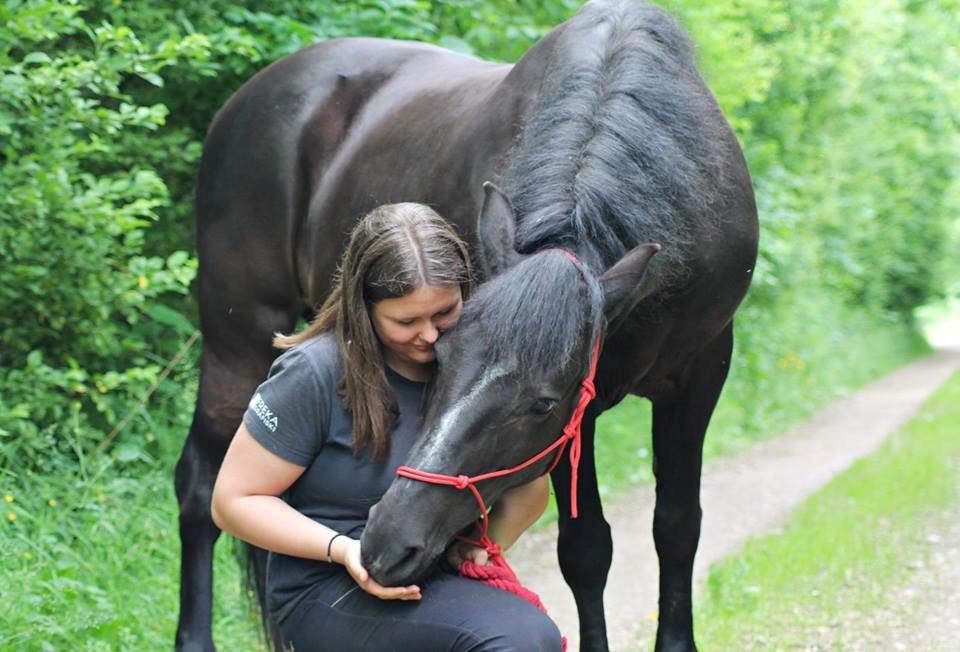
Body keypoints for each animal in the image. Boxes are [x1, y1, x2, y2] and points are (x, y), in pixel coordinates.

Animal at [174, 2, 756, 648]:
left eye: (540, 403)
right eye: (440, 360)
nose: (384, 539)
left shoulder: (699, 373)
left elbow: (677, 525)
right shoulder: (582, 414)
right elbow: (586, 550)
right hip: (238, 340)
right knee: (201, 485)